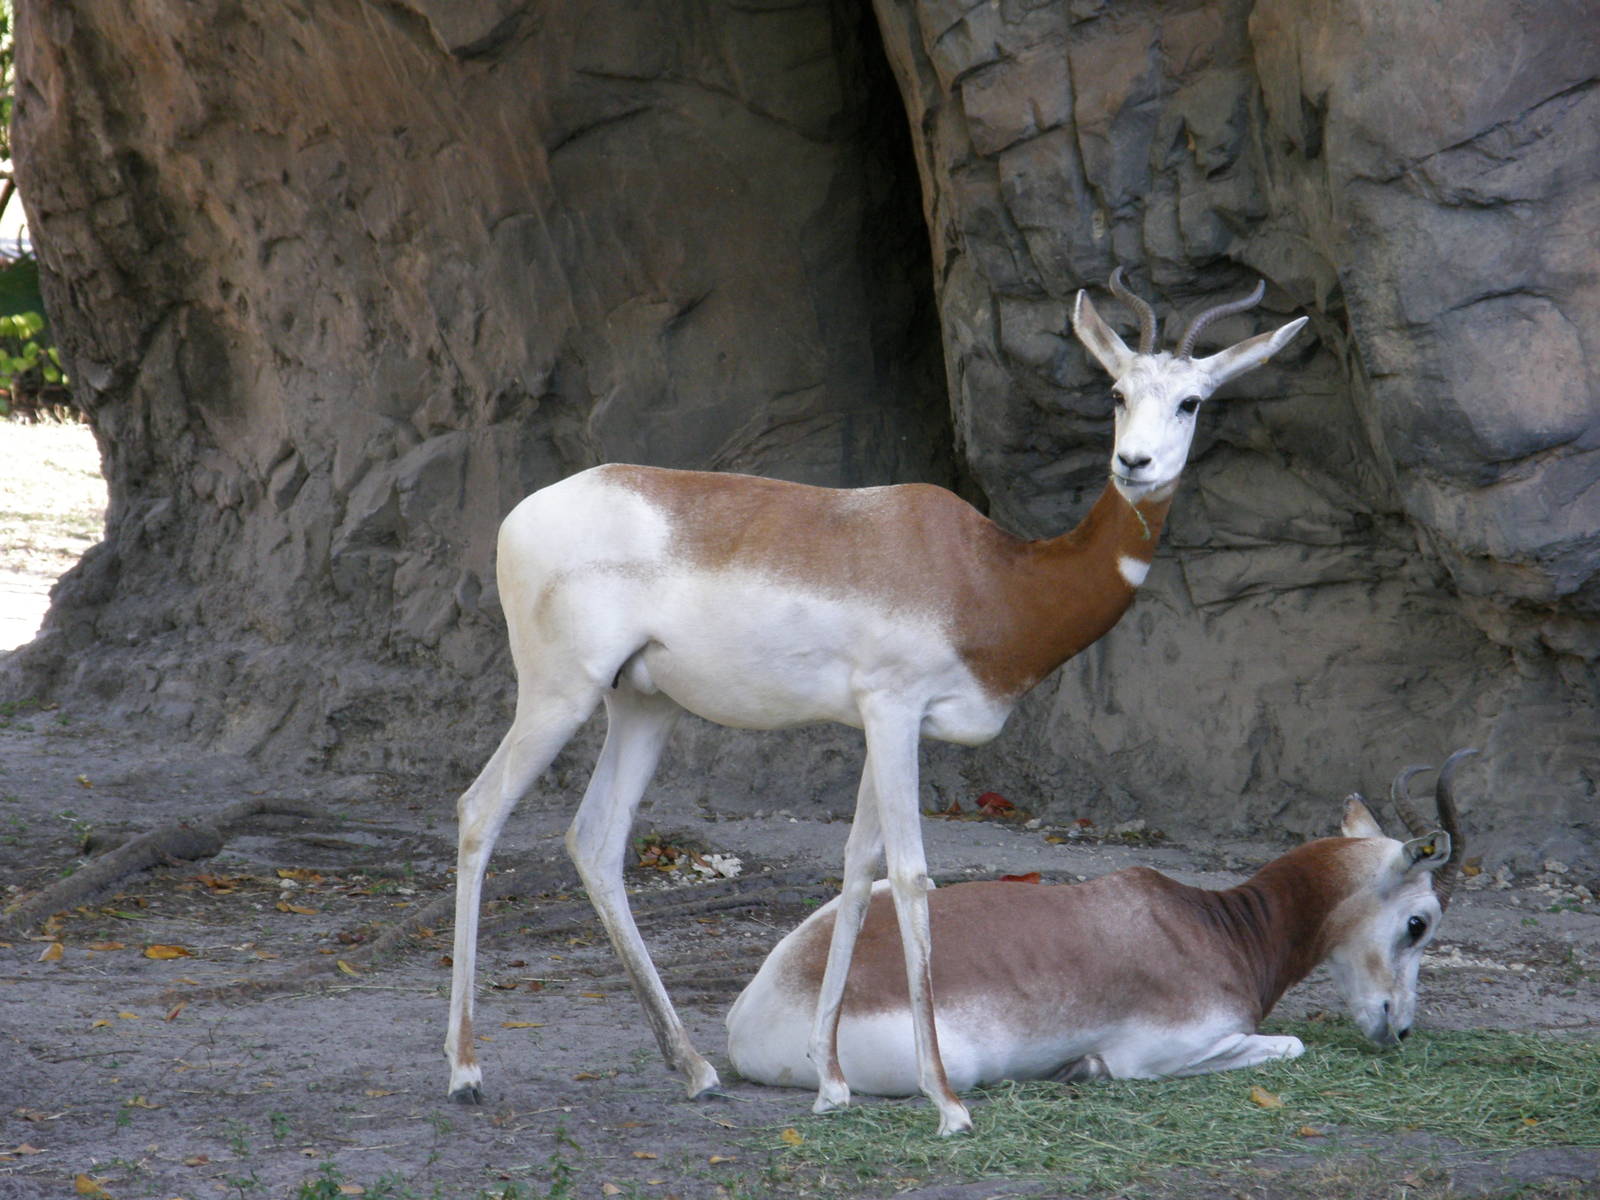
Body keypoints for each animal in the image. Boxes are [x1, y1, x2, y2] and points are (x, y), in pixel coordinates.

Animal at [444, 273, 1308, 1135]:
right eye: (1118, 391)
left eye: (1191, 401)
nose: (1135, 463)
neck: (990, 575)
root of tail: (521, 514)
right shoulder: (894, 712)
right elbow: (912, 874)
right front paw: (947, 1102)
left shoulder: (881, 722)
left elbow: (858, 871)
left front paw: (830, 1083)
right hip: (559, 693)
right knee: (480, 810)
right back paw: (465, 1071)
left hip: (642, 708)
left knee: (595, 841)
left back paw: (694, 1070)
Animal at [727, 751, 1475, 1095]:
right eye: (1419, 922)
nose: (1399, 1029)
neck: (1216, 928)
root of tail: (754, 1014)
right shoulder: (1155, 1056)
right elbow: (1290, 1045)